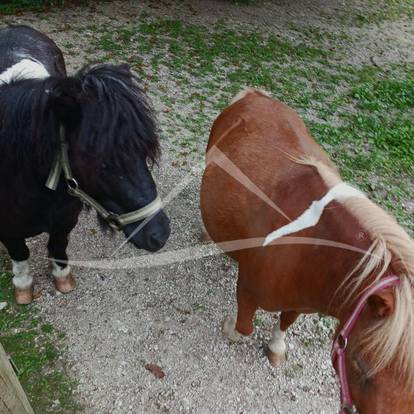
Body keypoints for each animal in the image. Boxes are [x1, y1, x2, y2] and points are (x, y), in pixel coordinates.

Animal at [0, 25, 171, 304]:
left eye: (143, 151)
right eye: (99, 161)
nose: (160, 234)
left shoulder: (66, 218)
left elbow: (58, 245)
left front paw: (62, 278)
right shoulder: (7, 229)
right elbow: (20, 252)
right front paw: (23, 286)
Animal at [201, 89, 414, 412]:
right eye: (360, 365)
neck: (309, 246)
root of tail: (255, 94)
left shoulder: (302, 301)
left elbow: (286, 321)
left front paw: (275, 347)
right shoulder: (248, 289)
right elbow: (245, 326)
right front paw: (231, 329)